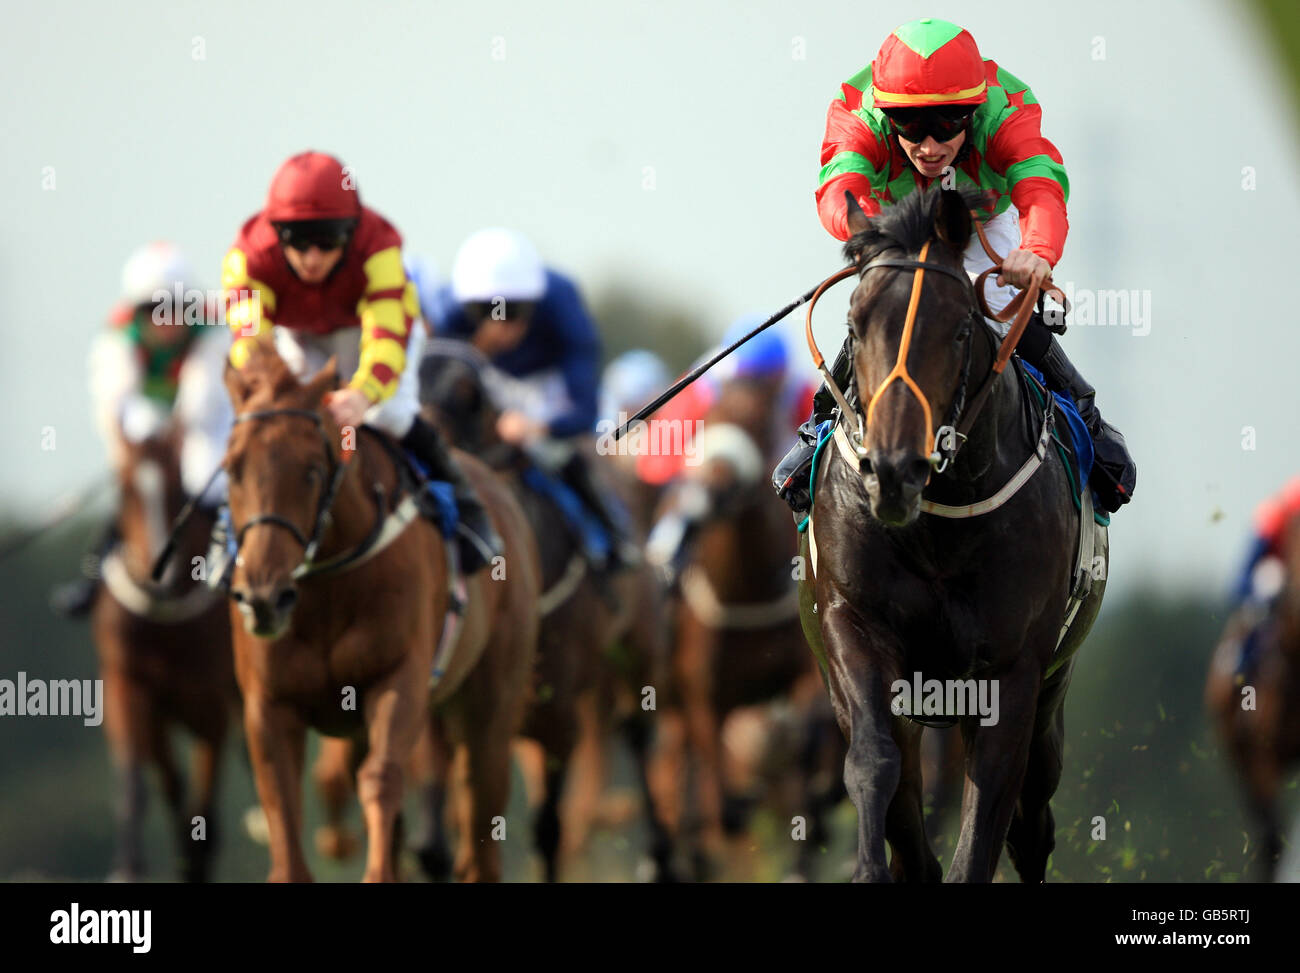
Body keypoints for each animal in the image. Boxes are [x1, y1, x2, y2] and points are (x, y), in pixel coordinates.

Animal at [91, 426, 236, 879]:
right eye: (124, 489)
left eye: (178, 488)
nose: (159, 575)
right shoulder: (129, 687)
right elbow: (139, 786)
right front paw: (127, 867)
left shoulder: (212, 702)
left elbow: (205, 813)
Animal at [220, 343, 535, 879]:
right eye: (232, 468)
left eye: (312, 470)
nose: (263, 597)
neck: (326, 586)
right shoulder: (268, 702)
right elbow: (281, 800)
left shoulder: (397, 676)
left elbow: (382, 777)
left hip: (491, 705)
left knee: (480, 819)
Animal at [800, 188, 1107, 879]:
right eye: (854, 327)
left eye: (962, 328)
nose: (893, 471)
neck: (936, 526)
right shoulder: (853, 630)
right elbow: (875, 766)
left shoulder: (1013, 671)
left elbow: (988, 813)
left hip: (1052, 690)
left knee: (1033, 818)